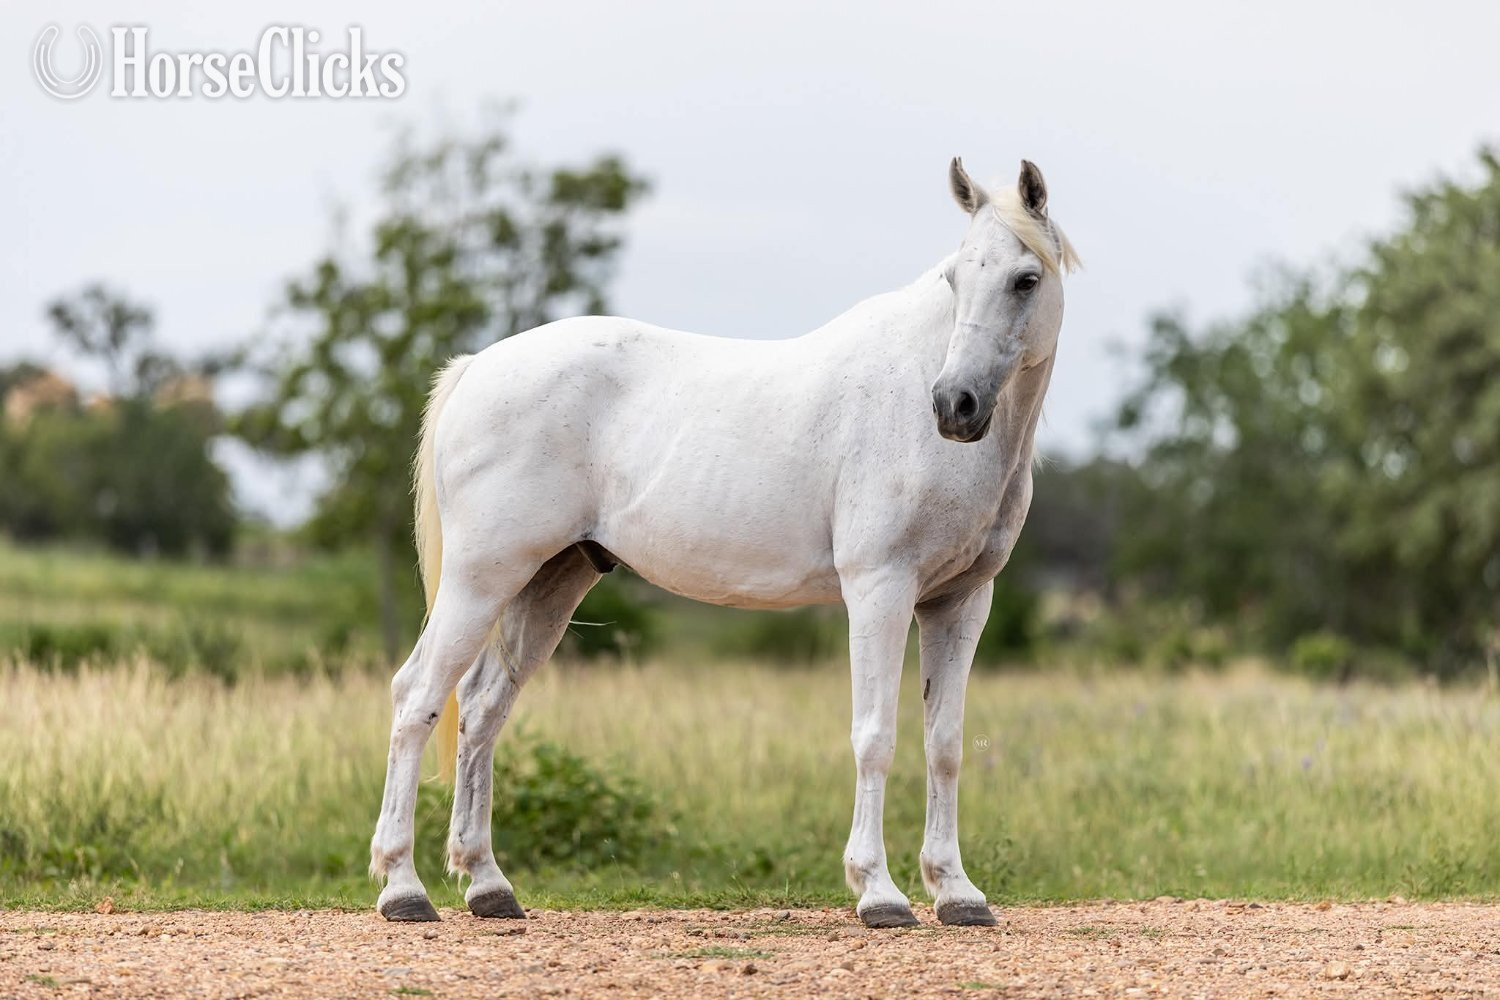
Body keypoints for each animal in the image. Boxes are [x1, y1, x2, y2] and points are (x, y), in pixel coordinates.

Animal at [369, 156, 1080, 929]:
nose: (955, 406)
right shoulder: (880, 589)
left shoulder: (961, 602)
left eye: (1026, 279)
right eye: (954, 277)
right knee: (418, 697)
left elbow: (944, 744)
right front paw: (879, 892)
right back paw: (403, 887)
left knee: (482, 709)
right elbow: (875, 736)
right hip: (483, 577)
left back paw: (488, 885)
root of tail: (477, 367)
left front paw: (956, 891)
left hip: (550, 581)